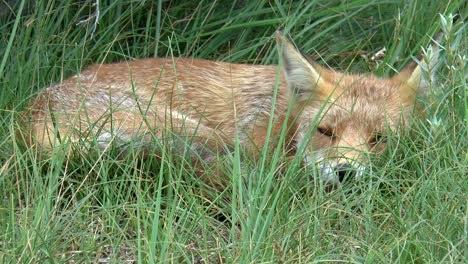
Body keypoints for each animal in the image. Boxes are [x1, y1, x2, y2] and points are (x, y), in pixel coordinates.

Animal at [20, 31, 438, 186]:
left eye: (380, 139)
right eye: (325, 132)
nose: (346, 173)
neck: (281, 117)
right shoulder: (251, 145)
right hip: (180, 126)